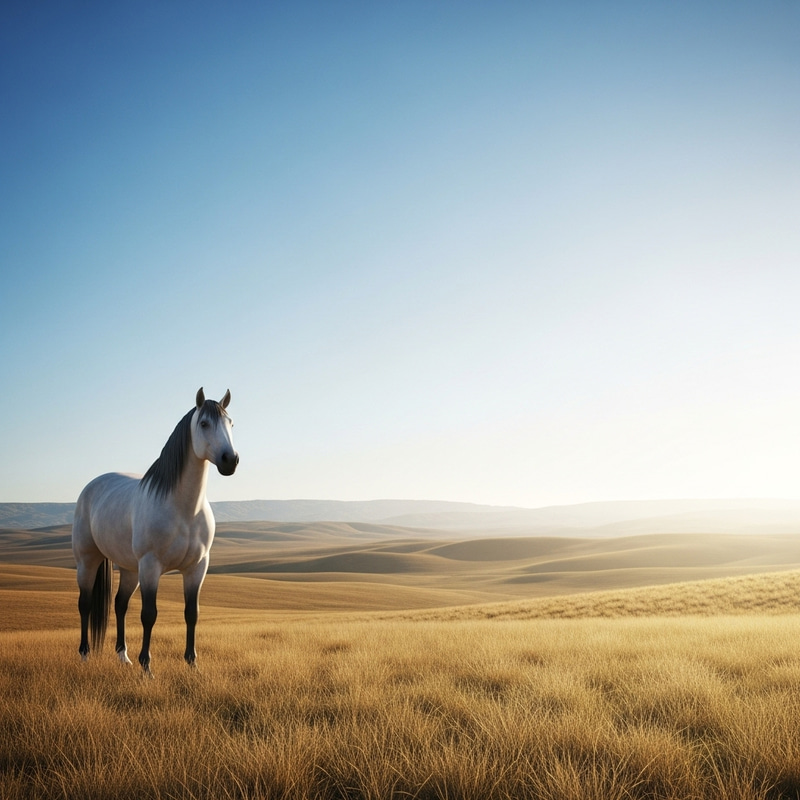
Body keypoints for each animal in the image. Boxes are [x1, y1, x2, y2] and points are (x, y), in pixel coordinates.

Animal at [71, 387, 239, 676]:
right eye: (204, 424)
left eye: (231, 423)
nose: (230, 460)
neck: (185, 510)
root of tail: (92, 486)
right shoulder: (151, 566)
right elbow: (149, 614)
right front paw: (147, 667)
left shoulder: (197, 567)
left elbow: (191, 613)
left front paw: (192, 663)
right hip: (88, 561)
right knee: (86, 603)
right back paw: (85, 655)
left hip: (129, 569)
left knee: (120, 604)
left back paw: (123, 656)